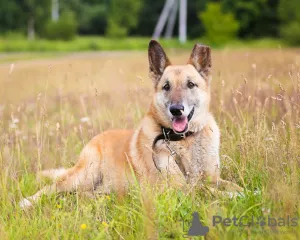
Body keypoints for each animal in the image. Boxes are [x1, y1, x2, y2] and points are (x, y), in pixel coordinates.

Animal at [19, 40, 243, 208]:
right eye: (166, 87)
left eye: (190, 84)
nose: (176, 109)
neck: (183, 140)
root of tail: (97, 138)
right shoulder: (177, 188)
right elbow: (205, 190)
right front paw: (235, 197)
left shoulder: (212, 177)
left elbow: (232, 185)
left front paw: (244, 192)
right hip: (85, 175)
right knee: (53, 188)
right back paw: (27, 202)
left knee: (86, 194)